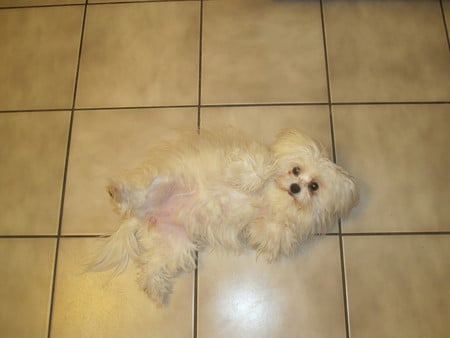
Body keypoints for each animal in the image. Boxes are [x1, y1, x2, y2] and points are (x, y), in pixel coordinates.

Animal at [90, 128, 358, 304]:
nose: (294, 187)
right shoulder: (247, 160)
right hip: (165, 180)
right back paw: (118, 192)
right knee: (136, 194)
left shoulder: (270, 224)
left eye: (314, 186)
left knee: (151, 267)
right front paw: (254, 180)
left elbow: (273, 230)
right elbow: (259, 169)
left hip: (176, 245)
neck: (274, 197)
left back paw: (155, 291)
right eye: (296, 169)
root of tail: (144, 214)